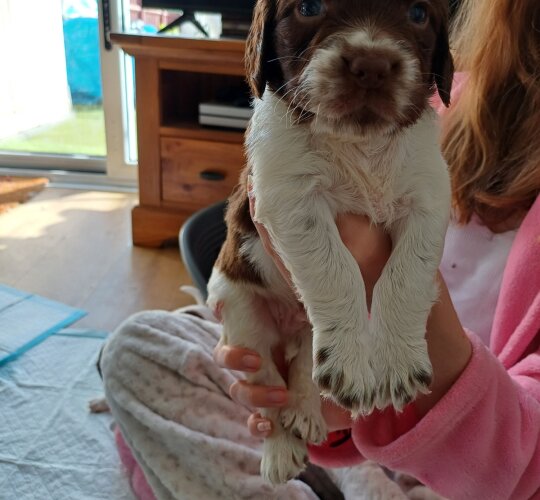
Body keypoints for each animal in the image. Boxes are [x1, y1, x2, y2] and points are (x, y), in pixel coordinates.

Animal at [207, 0, 452, 484]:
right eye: (308, 8)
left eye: (419, 14)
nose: (372, 66)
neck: (361, 145)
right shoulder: (289, 195)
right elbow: (336, 269)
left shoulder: (429, 196)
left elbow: (407, 276)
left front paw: (396, 361)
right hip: (243, 321)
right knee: (268, 387)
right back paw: (281, 447)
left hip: (301, 329)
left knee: (303, 367)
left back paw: (308, 412)